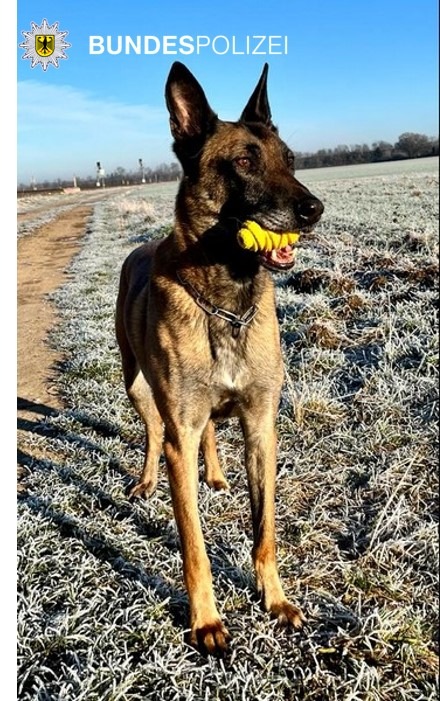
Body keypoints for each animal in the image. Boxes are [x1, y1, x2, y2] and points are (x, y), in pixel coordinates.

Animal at [116, 58, 324, 652]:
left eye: (291, 160)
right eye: (244, 162)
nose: (314, 209)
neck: (226, 304)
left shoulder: (261, 427)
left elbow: (265, 530)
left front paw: (275, 600)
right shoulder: (180, 435)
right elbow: (193, 544)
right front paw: (206, 620)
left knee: (209, 430)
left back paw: (214, 474)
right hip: (136, 386)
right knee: (151, 431)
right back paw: (146, 481)